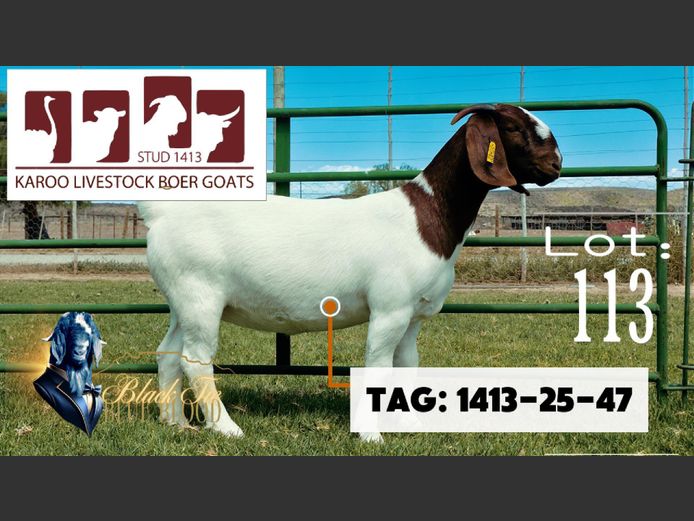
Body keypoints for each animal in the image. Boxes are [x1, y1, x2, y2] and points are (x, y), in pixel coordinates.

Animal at [138, 104, 562, 442]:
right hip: (200, 293)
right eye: (513, 127)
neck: (426, 217)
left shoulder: (413, 315)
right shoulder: (390, 308)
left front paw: (411, 426)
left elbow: (407, 366)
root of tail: (162, 212)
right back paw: (227, 428)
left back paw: (175, 423)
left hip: (182, 301)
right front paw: (372, 435)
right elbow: (378, 367)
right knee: (196, 358)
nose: (556, 162)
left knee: (169, 353)